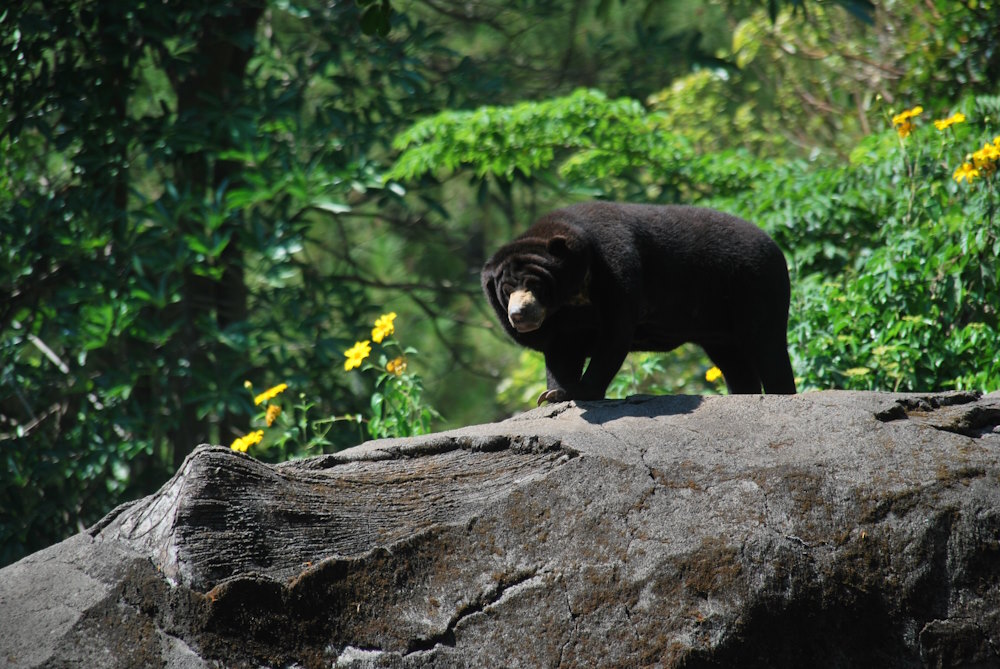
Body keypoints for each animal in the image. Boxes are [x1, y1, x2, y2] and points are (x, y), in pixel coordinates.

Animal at [481, 201, 796, 404]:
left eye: (535, 286)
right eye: (506, 290)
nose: (519, 314)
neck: (574, 292)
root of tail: (775, 246)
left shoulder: (617, 269)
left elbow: (615, 334)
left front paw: (581, 392)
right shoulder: (564, 321)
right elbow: (562, 351)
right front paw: (554, 394)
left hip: (756, 284)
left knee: (767, 345)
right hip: (718, 319)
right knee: (734, 361)